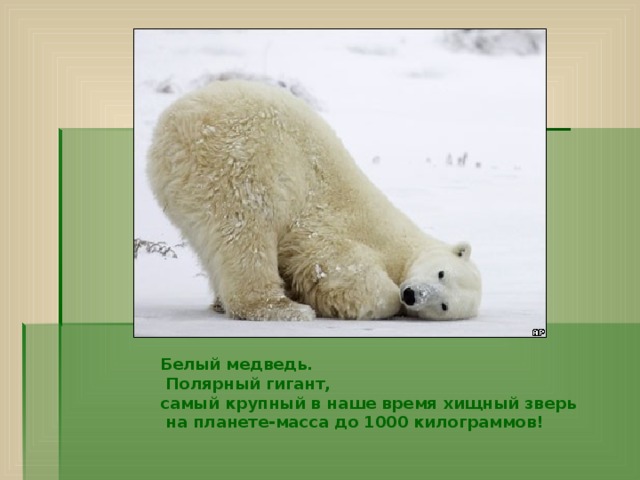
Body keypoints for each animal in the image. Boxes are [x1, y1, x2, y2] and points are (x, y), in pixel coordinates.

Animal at [147, 79, 481, 321]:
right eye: (441, 272)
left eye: (444, 305)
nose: (412, 295)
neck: (401, 248)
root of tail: (171, 126)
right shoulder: (343, 229)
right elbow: (346, 271)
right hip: (239, 163)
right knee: (248, 232)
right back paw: (282, 308)